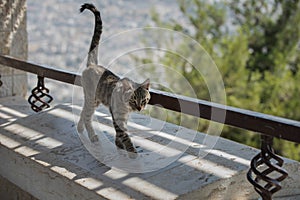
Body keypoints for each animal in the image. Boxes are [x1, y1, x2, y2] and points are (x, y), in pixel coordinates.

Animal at [77, 2, 150, 157]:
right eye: (133, 100)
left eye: (144, 100)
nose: (140, 108)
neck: (127, 109)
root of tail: (93, 64)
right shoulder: (117, 117)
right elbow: (124, 135)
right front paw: (131, 151)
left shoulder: (122, 118)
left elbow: (119, 134)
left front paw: (119, 145)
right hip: (91, 99)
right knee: (87, 117)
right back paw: (92, 136)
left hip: (94, 100)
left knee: (83, 112)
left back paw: (80, 128)